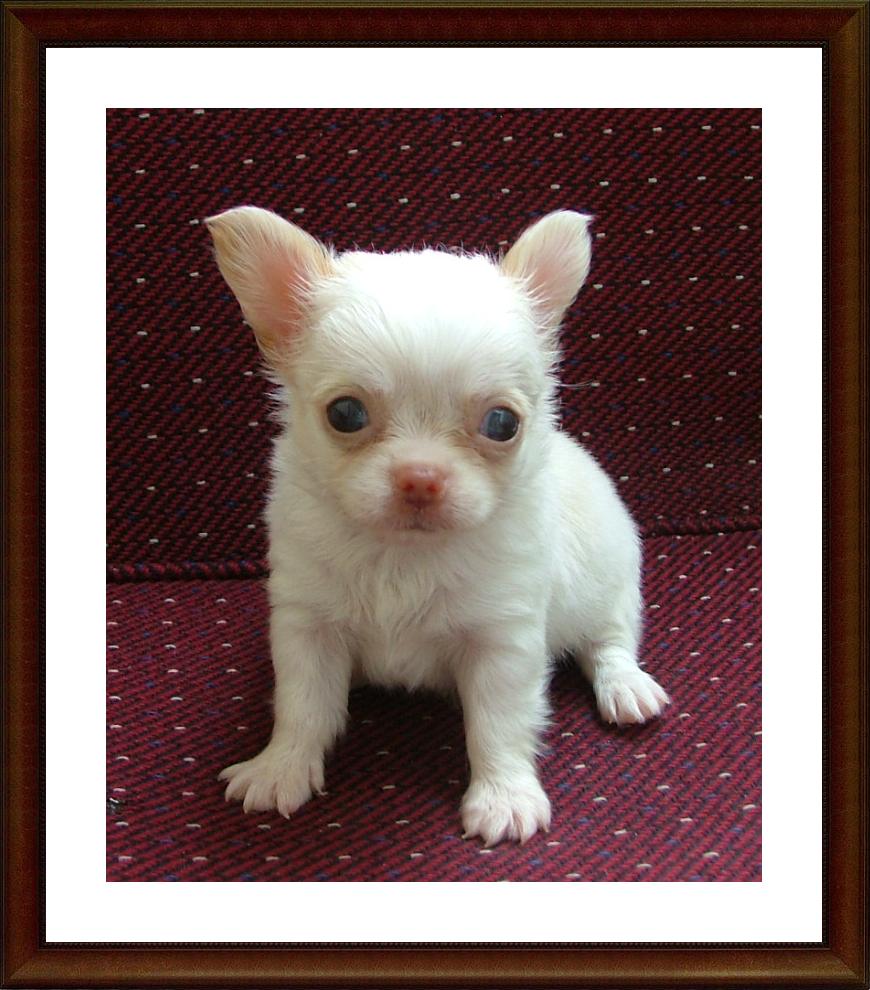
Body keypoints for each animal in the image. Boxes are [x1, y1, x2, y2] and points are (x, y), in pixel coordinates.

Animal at [205, 207, 669, 846]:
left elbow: (499, 725)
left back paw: (626, 687)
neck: (403, 555)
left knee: (610, 639)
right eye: (345, 413)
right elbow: (302, 706)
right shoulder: (307, 627)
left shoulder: (503, 643)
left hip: (609, 580)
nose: (420, 478)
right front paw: (281, 768)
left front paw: (504, 797)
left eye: (502, 423)